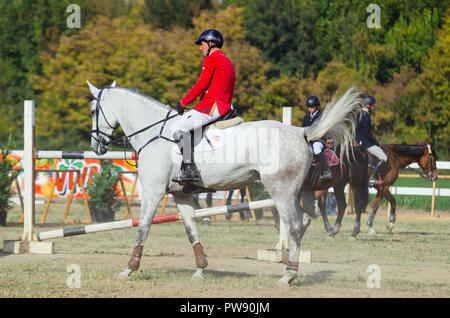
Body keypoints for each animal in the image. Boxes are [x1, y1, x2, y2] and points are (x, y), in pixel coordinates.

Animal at [89, 80, 366, 286]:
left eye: (93, 111)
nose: (97, 147)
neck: (156, 133)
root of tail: (301, 132)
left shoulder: (153, 192)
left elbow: (142, 229)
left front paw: (129, 269)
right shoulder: (181, 195)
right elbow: (191, 230)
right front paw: (200, 270)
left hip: (282, 191)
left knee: (295, 226)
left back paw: (287, 275)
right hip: (303, 190)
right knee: (306, 220)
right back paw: (291, 266)